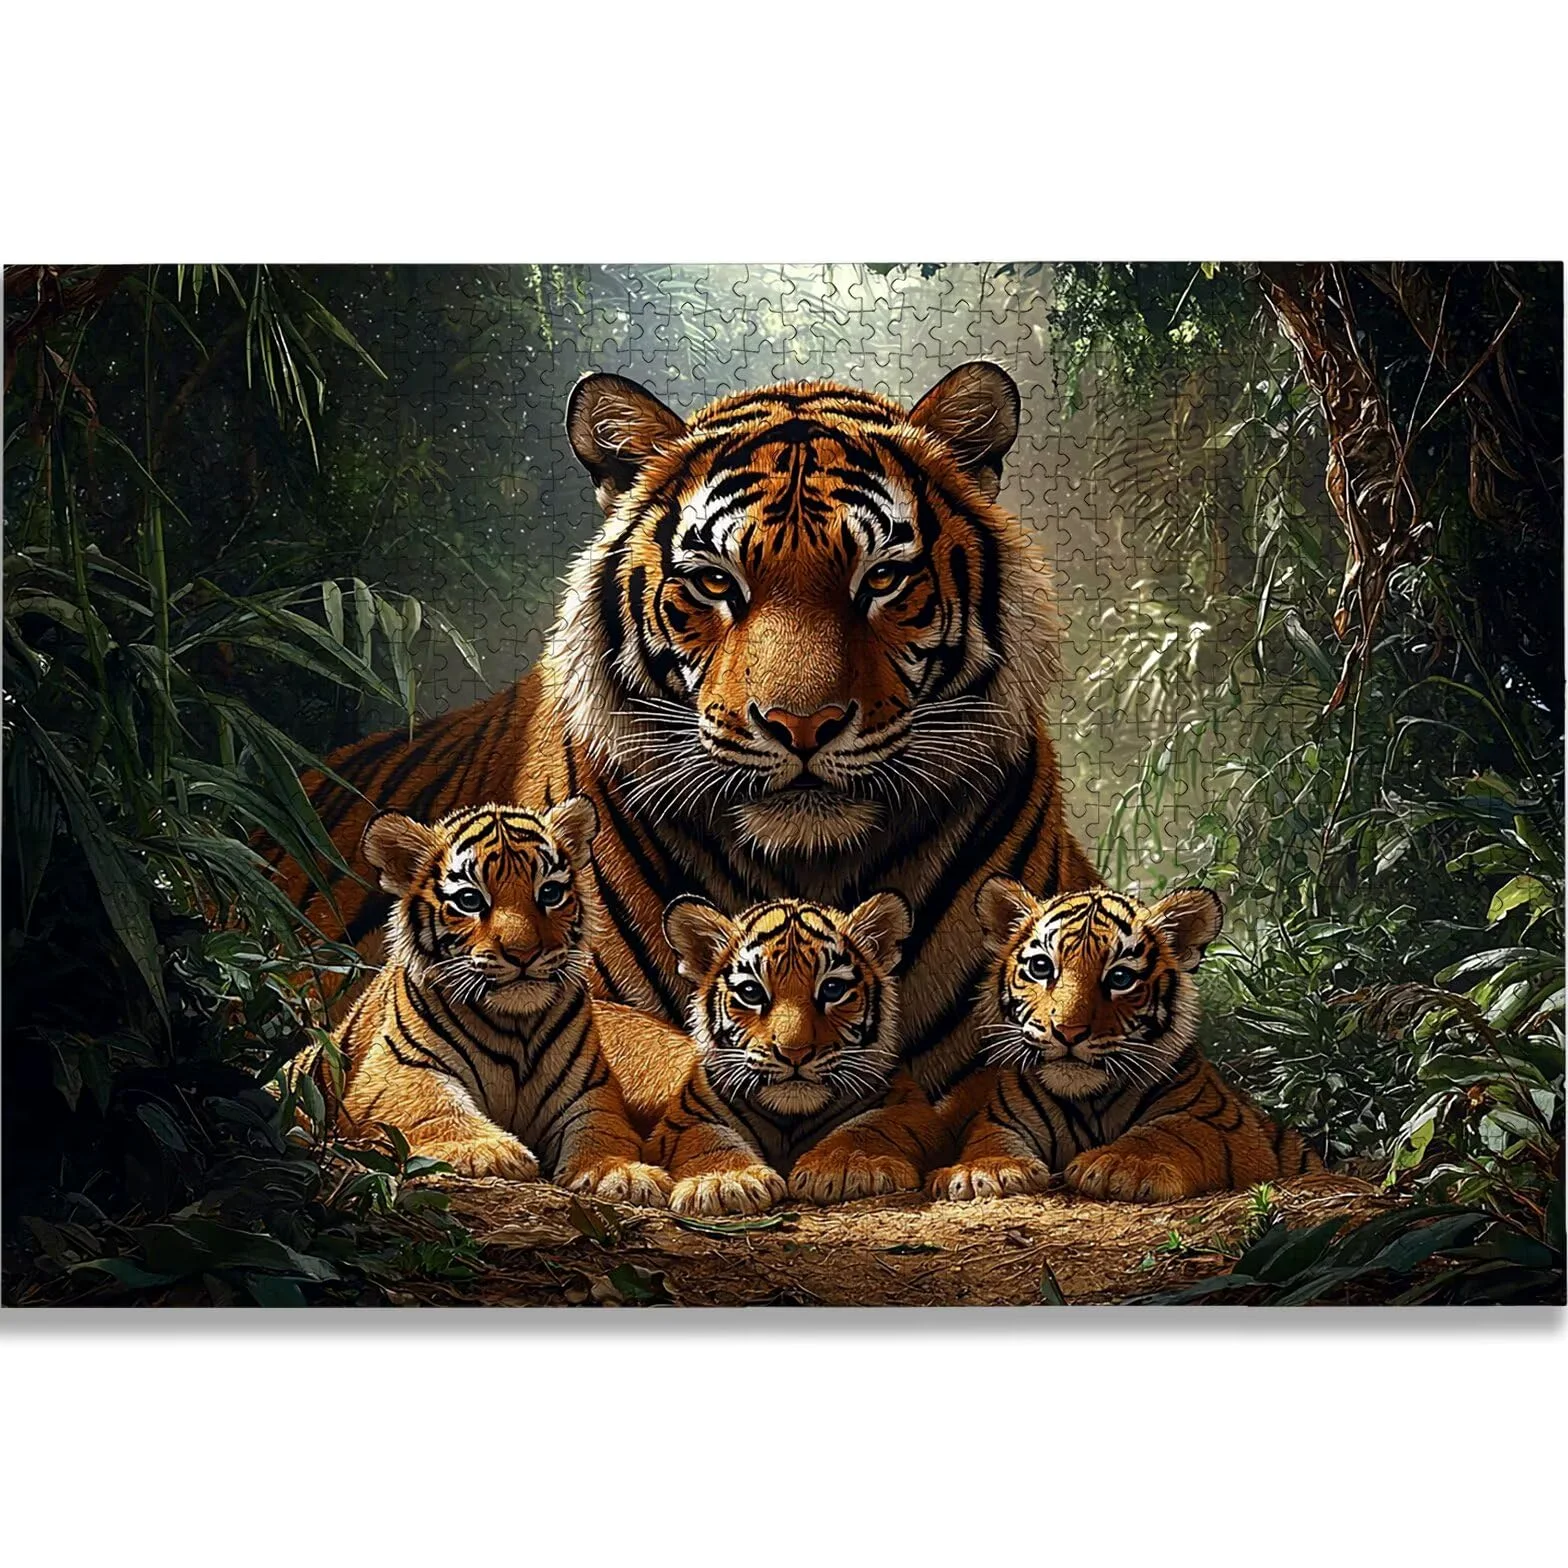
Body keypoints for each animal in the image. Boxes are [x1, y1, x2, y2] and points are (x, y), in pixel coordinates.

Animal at [331, 796, 675, 1205]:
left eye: (549, 893)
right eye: (469, 900)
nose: (523, 953)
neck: (516, 1025)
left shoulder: (588, 1088)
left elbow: (604, 1127)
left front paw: (621, 1173)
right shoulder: (397, 1072)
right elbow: (436, 1108)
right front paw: (488, 1152)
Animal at [646, 891, 932, 1214]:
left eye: (833, 989)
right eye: (751, 992)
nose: (794, 1052)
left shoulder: (910, 1105)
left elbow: (873, 1126)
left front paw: (846, 1167)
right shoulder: (686, 1115)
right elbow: (708, 1137)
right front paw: (726, 1181)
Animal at [927, 880, 1323, 1202]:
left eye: (1120, 978)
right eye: (1041, 967)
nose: (1068, 1031)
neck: (1087, 1102)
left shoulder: (1218, 1121)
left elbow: (1170, 1132)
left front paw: (1119, 1164)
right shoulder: (999, 1118)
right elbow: (988, 1139)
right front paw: (984, 1170)